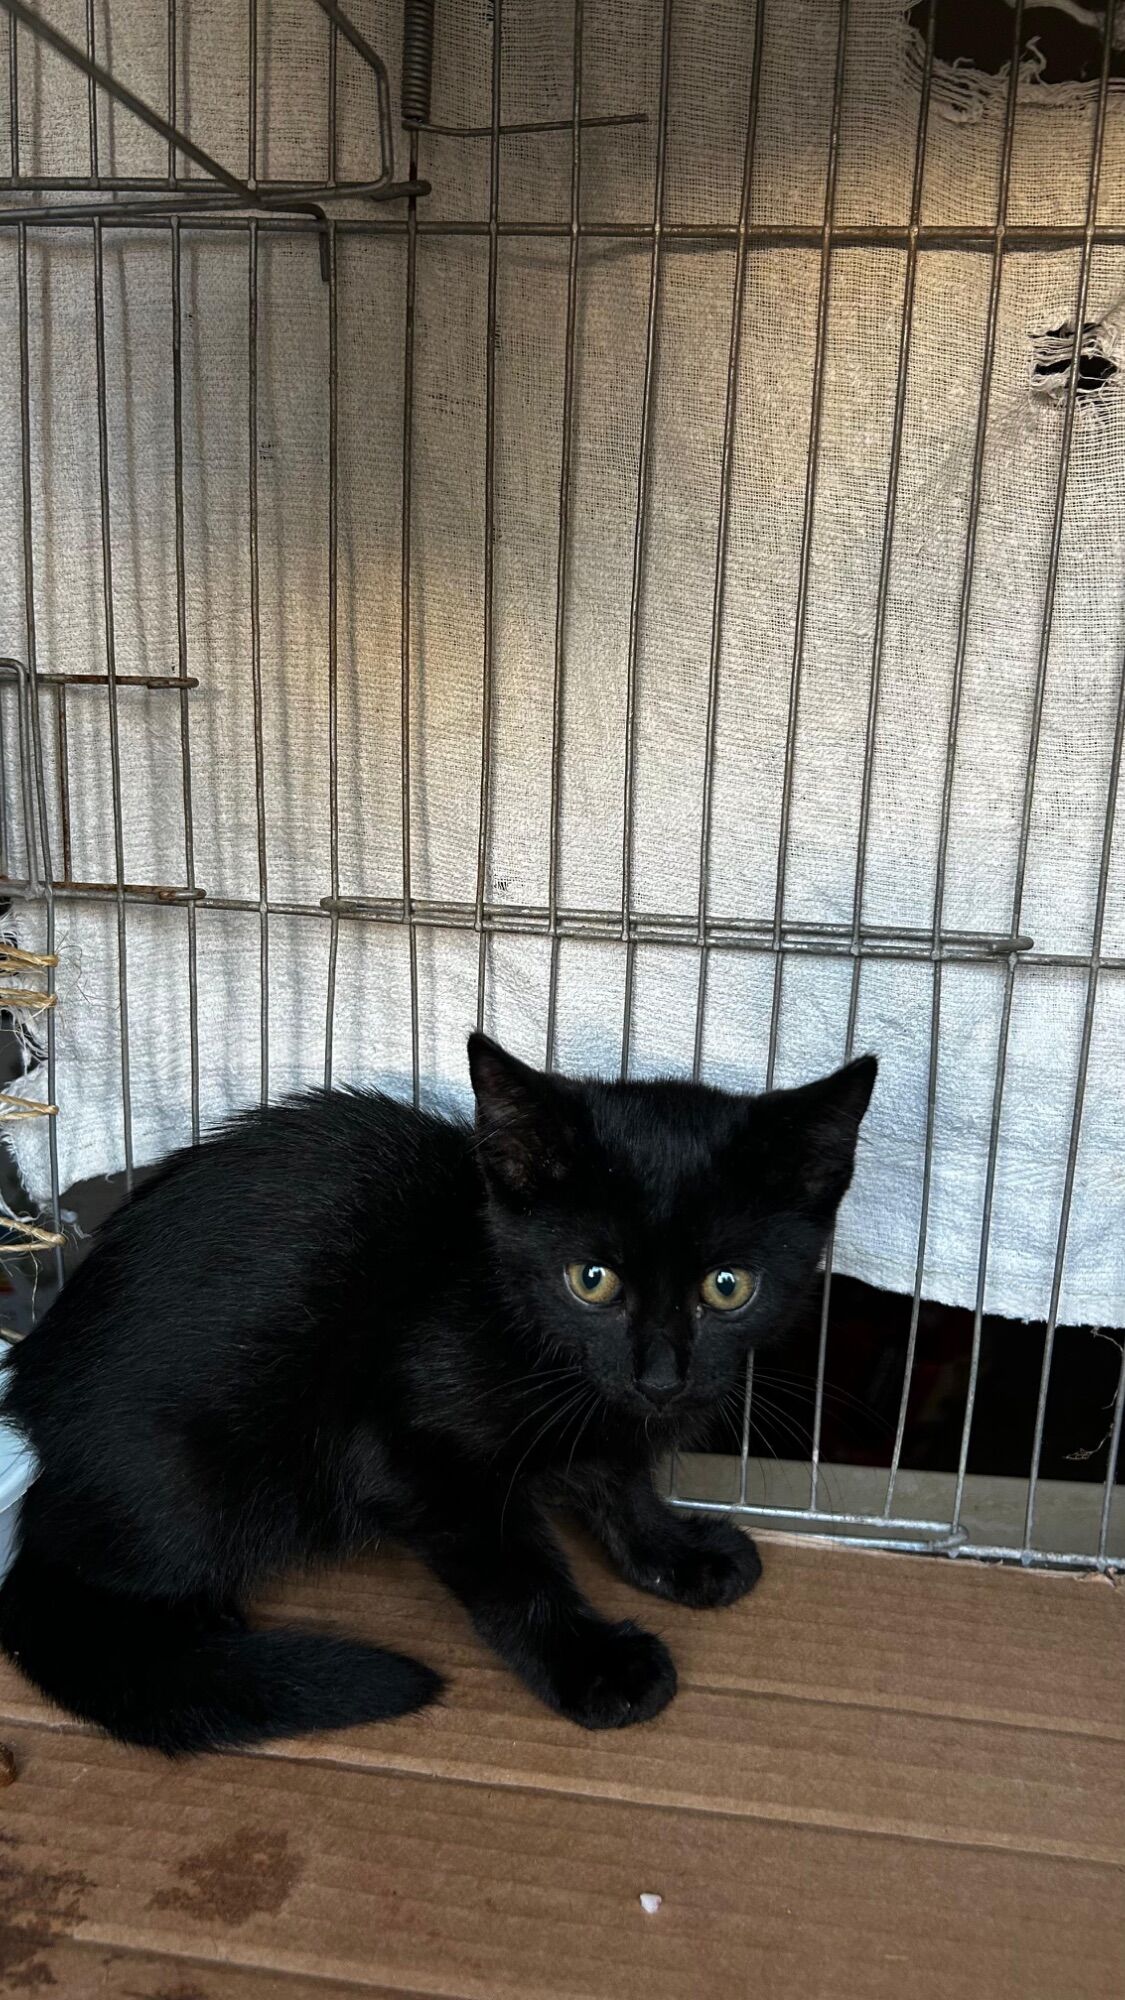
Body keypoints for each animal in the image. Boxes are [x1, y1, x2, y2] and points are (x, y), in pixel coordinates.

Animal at [0, 1031, 875, 1755]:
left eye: (727, 1287)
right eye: (591, 1280)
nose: (660, 1375)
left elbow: (620, 1483)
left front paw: (673, 1551)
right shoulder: (409, 1457)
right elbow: (517, 1569)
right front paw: (592, 1663)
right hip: (213, 1476)